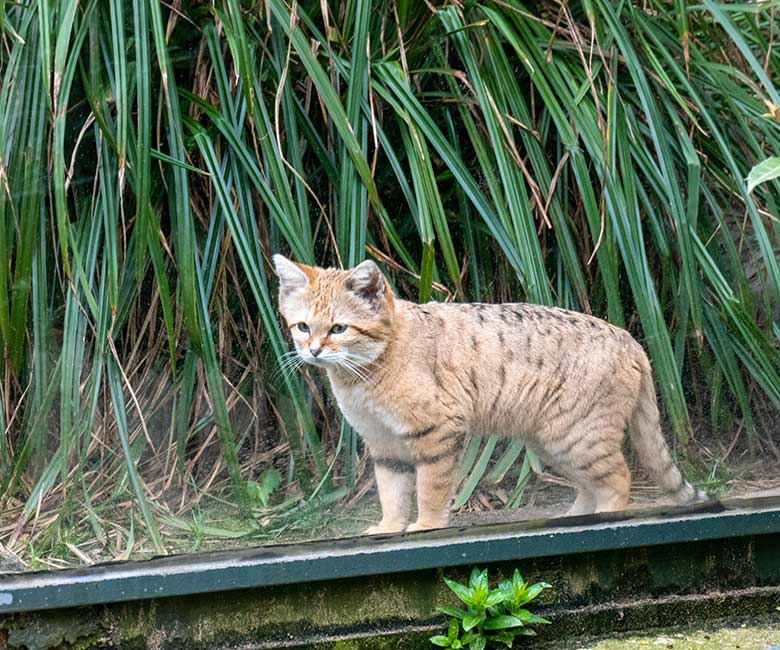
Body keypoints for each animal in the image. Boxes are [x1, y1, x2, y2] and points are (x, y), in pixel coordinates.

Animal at [276, 254, 708, 532]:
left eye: (338, 329)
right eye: (302, 326)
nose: (313, 351)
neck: (364, 374)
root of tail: (629, 339)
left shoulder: (436, 432)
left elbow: (429, 490)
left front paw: (425, 526)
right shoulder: (384, 444)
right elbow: (392, 492)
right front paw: (388, 528)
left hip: (576, 436)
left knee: (619, 478)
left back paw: (605, 520)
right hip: (553, 441)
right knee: (593, 485)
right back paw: (575, 518)